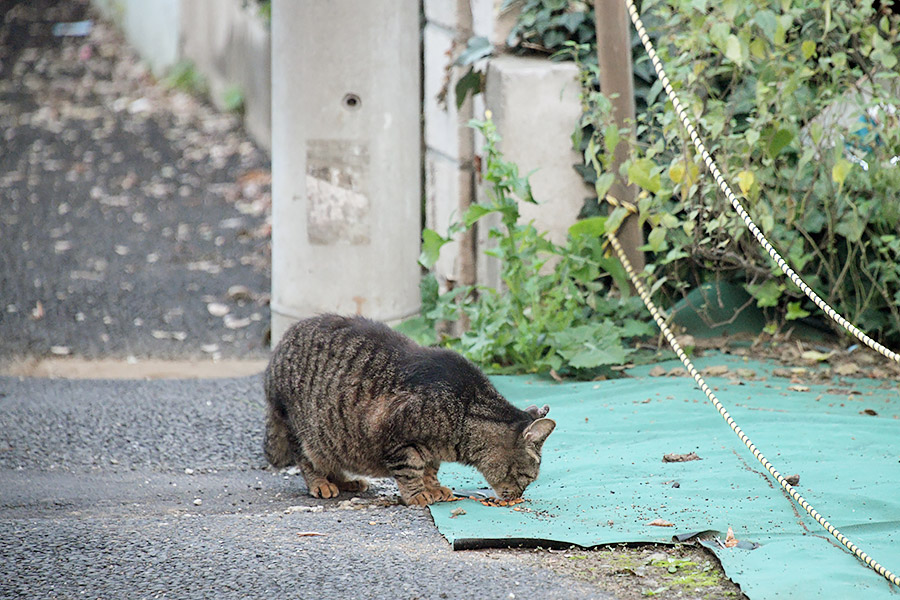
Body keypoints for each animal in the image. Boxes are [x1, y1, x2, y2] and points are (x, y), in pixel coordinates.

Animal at [262, 314, 556, 506]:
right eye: (527, 478)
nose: (519, 496)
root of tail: (276, 353)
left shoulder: (432, 450)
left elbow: (430, 468)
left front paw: (434, 487)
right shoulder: (397, 437)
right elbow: (410, 470)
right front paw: (418, 494)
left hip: (332, 440)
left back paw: (346, 480)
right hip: (302, 430)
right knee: (306, 460)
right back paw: (321, 483)